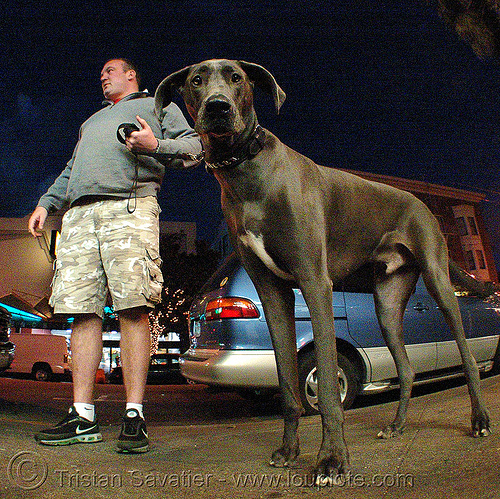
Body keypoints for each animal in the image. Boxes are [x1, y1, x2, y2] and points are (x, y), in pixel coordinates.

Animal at [154, 59, 490, 480]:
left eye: (236, 78)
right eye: (196, 80)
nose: (218, 107)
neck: (246, 167)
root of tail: (420, 202)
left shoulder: (315, 283)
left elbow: (329, 387)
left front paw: (332, 458)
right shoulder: (274, 295)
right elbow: (287, 384)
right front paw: (289, 450)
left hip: (438, 281)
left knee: (468, 358)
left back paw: (479, 420)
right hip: (387, 306)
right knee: (408, 369)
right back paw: (397, 426)